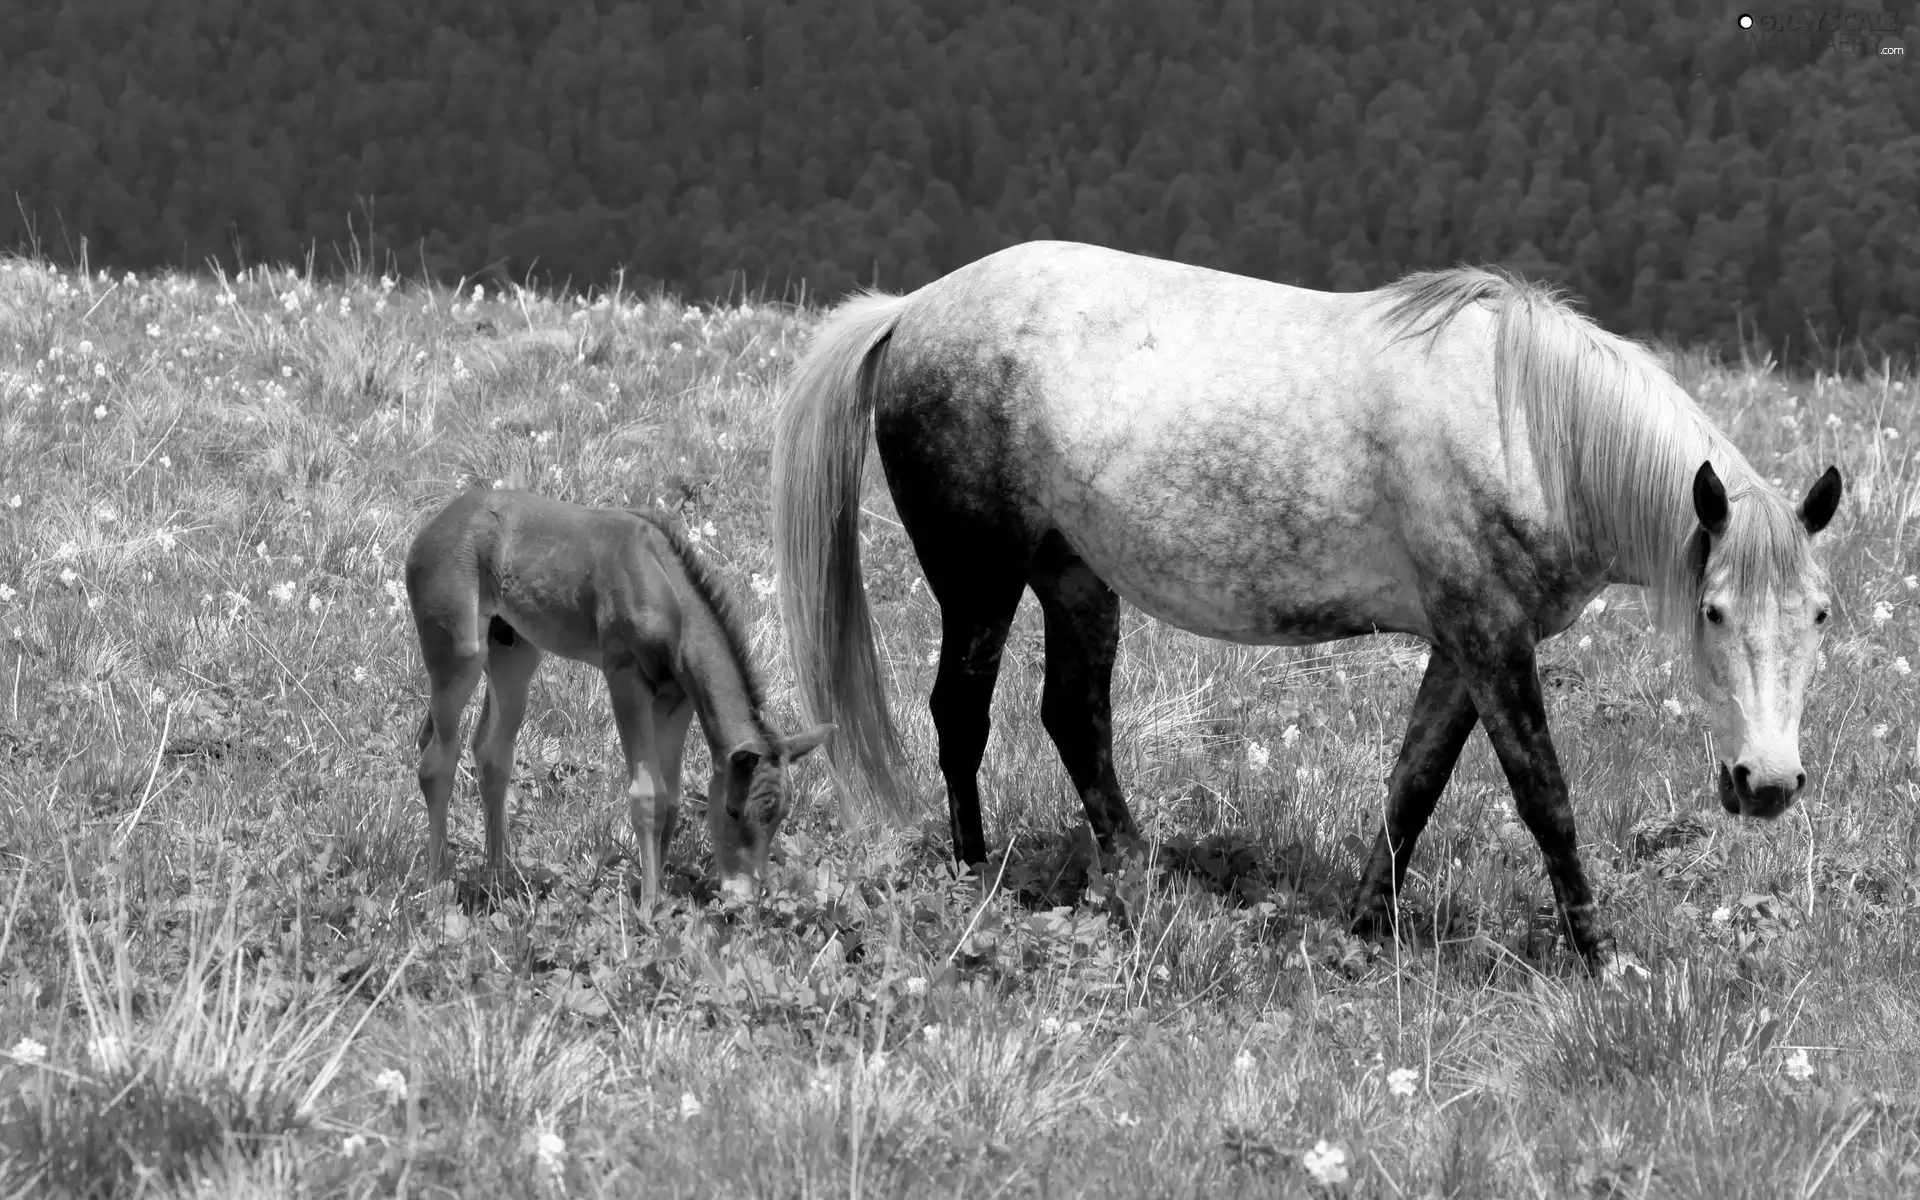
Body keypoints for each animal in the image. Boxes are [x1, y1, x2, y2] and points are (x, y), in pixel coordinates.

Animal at [405, 483, 833, 898]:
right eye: (731, 810)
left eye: (779, 817)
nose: (741, 896)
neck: (663, 584)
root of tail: (429, 529)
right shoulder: (625, 678)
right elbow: (647, 795)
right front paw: (646, 908)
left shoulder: (676, 700)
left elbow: (671, 798)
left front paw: (656, 898)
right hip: (460, 654)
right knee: (436, 762)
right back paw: (436, 889)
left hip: (513, 652)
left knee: (492, 753)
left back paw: (497, 882)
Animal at [768, 239, 1843, 967]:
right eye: (1712, 612)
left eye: (1821, 615)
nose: (1768, 782)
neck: (1527, 425)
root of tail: (912, 308)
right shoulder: (1492, 638)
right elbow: (1545, 799)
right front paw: (1598, 956)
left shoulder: (1462, 645)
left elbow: (1413, 787)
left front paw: (1365, 929)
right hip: (980, 580)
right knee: (962, 714)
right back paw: (973, 874)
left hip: (1074, 578)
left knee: (1074, 717)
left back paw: (1142, 875)